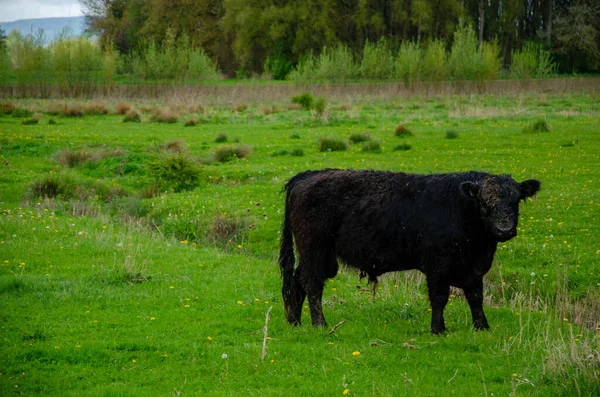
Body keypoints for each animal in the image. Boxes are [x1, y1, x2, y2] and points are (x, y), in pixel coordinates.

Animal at [278, 169, 540, 332]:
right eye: (484, 202)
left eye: (516, 200)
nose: (504, 229)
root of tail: (309, 175)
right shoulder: (437, 267)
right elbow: (440, 297)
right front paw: (438, 329)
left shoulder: (474, 269)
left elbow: (475, 296)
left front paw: (482, 326)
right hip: (314, 249)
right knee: (312, 284)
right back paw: (319, 324)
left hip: (320, 255)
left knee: (298, 282)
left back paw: (295, 322)